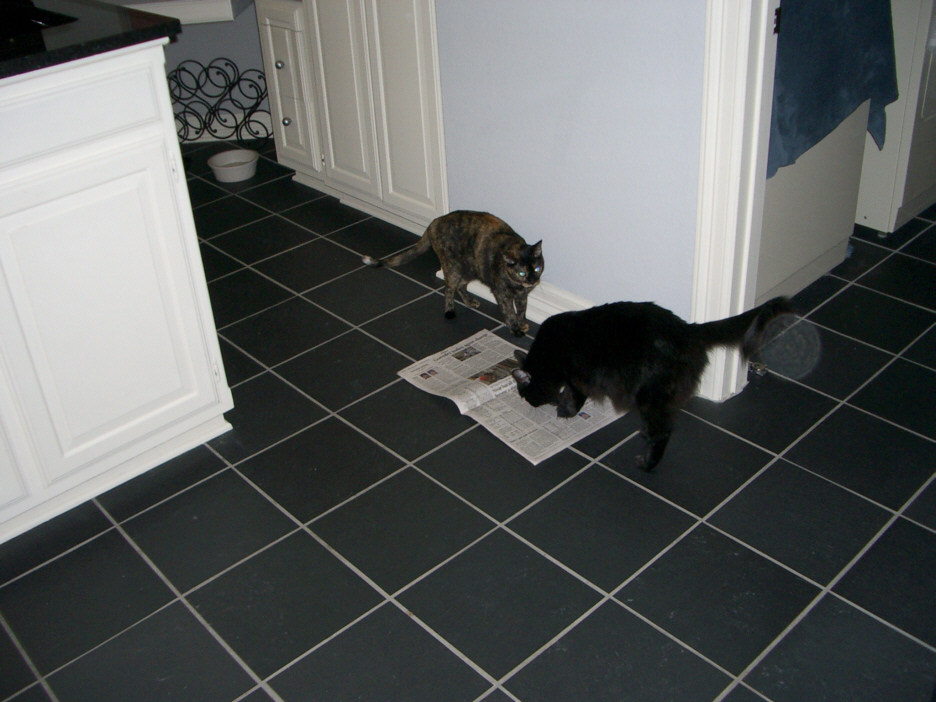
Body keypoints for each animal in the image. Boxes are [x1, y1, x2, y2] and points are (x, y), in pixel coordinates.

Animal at [362, 210, 543, 336]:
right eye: (521, 273)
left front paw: (522, 323)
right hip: (453, 267)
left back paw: (470, 302)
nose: (533, 281)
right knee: (449, 288)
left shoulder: (522, 295)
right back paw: (449, 311)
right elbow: (509, 311)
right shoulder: (501, 293)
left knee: (461, 286)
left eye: (537, 268)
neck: (517, 285)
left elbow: (522, 309)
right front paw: (515, 328)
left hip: (470, 268)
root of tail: (434, 222)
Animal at [511, 296, 794, 471]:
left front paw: (565, 409)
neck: (548, 352)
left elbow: (575, 396)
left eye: (526, 396)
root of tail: (687, 328)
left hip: (650, 397)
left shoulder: (579, 377)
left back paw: (647, 463)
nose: (530, 405)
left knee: (663, 432)